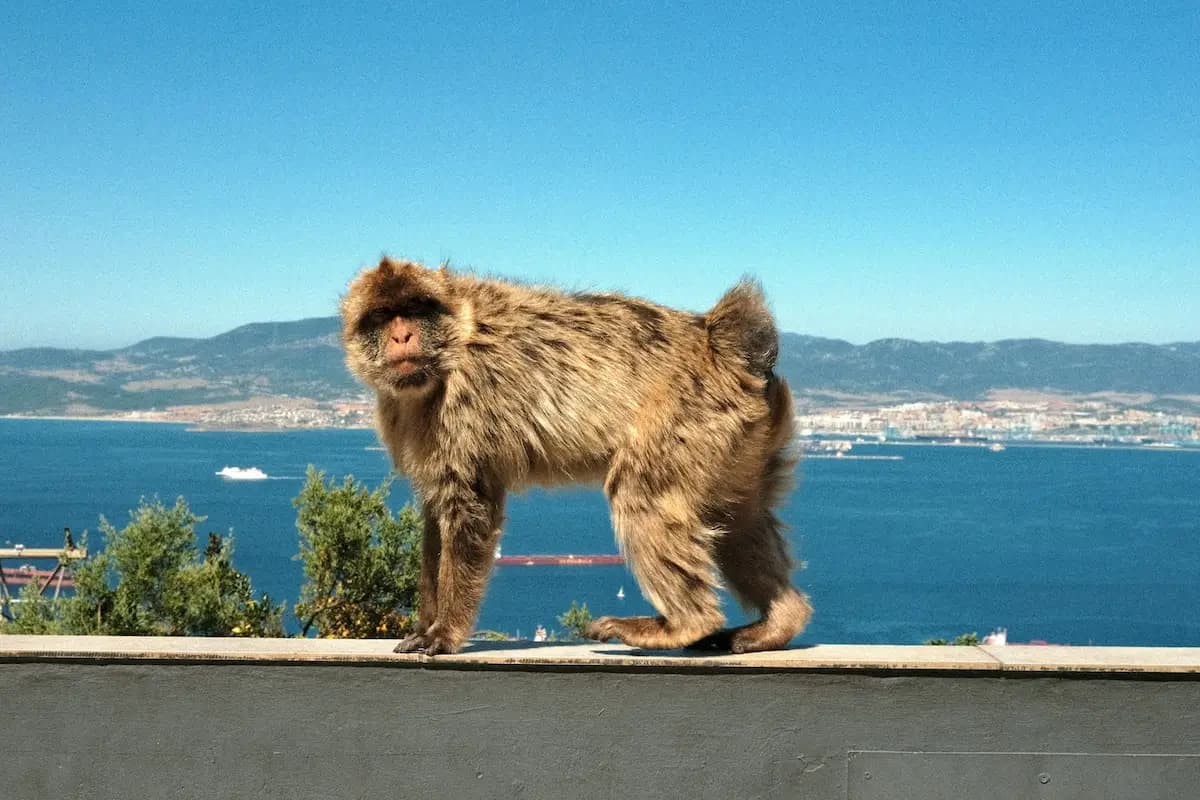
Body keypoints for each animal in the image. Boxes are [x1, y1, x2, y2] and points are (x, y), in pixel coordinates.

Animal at [341, 257, 812, 655]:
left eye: (415, 309)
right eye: (382, 316)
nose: (402, 335)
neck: (453, 347)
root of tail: (722, 343)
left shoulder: (465, 408)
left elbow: (469, 509)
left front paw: (446, 632)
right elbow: (438, 512)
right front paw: (426, 624)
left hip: (690, 420)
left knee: (641, 496)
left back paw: (682, 625)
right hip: (742, 442)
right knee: (738, 520)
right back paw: (779, 623)